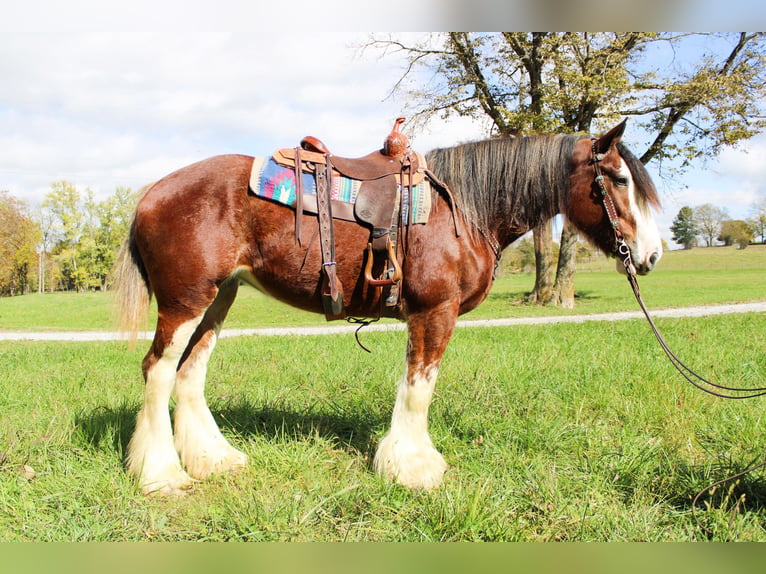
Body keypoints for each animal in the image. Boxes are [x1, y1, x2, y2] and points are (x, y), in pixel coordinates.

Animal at [111, 119, 664, 498]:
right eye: (617, 180)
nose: (652, 255)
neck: (465, 208)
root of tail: (150, 194)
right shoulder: (434, 312)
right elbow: (419, 389)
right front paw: (413, 469)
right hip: (186, 302)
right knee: (158, 370)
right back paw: (162, 474)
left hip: (218, 299)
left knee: (189, 372)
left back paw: (213, 459)